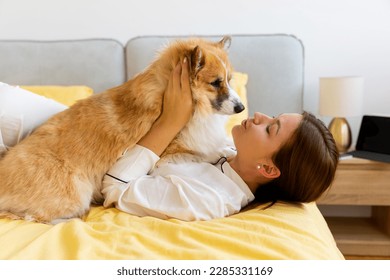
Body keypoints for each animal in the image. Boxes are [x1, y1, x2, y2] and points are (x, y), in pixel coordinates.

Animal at [0, 36, 244, 223]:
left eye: (230, 80)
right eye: (216, 82)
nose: (241, 108)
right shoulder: (170, 151)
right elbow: (203, 152)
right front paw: (224, 152)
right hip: (76, 193)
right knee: (32, 216)